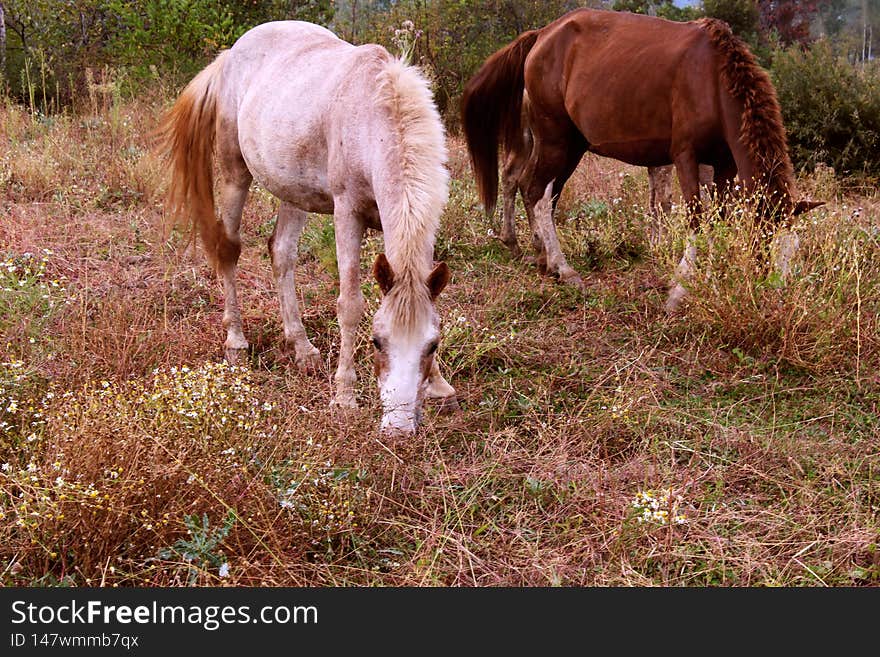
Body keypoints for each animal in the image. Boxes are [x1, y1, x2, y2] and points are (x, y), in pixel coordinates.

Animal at [156, 21, 457, 436]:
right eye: (377, 342)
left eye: (432, 346)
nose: (397, 428)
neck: (375, 119)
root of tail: (229, 55)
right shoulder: (347, 214)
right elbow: (350, 304)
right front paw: (344, 396)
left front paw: (440, 387)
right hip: (235, 173)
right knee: (228, 250)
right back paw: (236, 342)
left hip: (293, 192)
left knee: (281, 253)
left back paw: (301, 347)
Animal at [461, 9, 822, 312]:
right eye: (764, 237)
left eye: (794, 249)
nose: (775, 300)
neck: (713, 77)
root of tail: (542, 35)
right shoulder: (685, 156)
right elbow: (694, 218)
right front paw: (680, 290)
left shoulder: (724, 165)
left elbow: (716, 219)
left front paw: (710, 277)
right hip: (555, 140)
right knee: (536, 192)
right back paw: (563, 269)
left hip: (570, 145)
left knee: (537, 192)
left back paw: (543, 258)